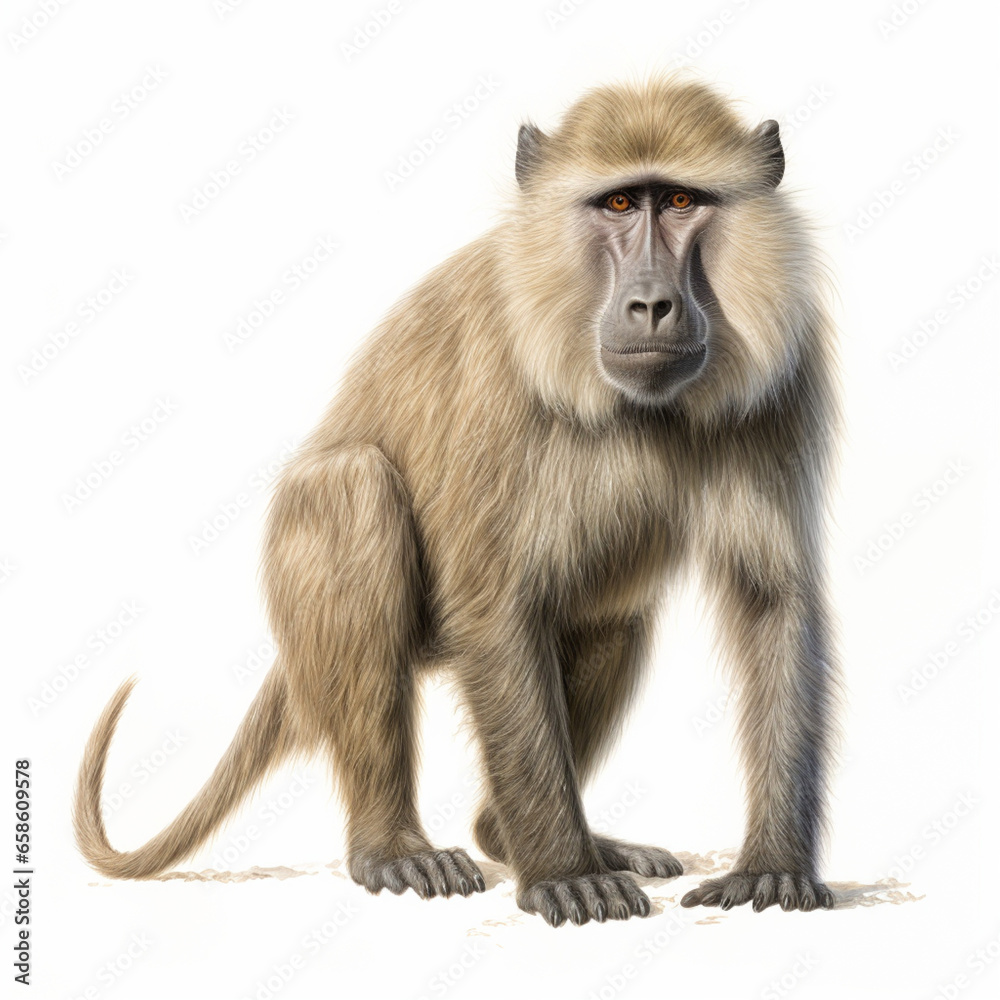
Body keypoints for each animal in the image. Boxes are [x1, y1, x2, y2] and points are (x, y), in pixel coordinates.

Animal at [75, 75, 841, 927]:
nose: (650, 304)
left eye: (679, 201)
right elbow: (496, 608)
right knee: (356, 490)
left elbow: (772, 599)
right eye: (616, 205)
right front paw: (563, 876)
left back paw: (510, 835)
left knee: (612, 612)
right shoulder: (501, 378)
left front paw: (771, 868)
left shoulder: (782, 371)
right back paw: (394, 849)